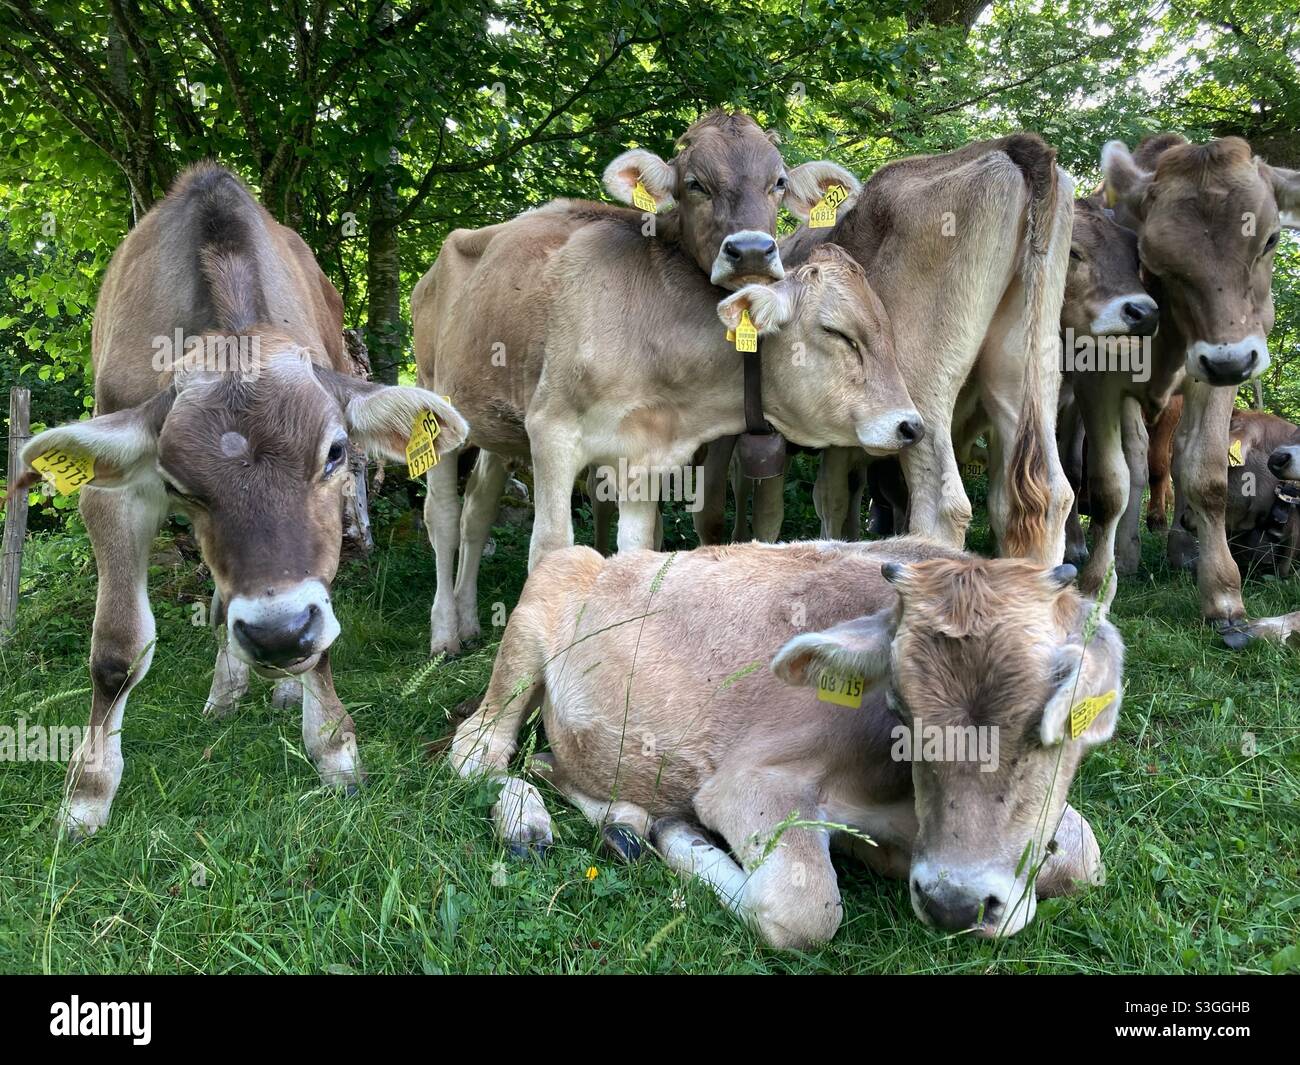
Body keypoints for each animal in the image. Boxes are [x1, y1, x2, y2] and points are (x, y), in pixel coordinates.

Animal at [13, 162, 467, 837]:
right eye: (177, 482)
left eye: (335, 452)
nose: (278, 636)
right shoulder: (112, 496)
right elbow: (118, 647)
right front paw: (87, 794)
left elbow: (320, 630)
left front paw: (334, 749)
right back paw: (226, 691)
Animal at [410, 110, 868, 657]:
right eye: (695, 184)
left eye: (778, 182)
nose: (753, 251)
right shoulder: (555, 432)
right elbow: (554, 546)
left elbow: (656, 537)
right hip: (438, 411)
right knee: (442, 515)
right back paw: (443, 631)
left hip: (497, 426)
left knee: (477, 510)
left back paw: (469, 618)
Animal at [449, 538, 1118, 946]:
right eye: (900, 710)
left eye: (1051, 726)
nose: (955, 902)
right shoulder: (749, 782)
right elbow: (803, 910)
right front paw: (688, 839)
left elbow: (1082, 857)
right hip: (526, 637)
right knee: (477, 750)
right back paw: (527, 824)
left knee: (553, 763)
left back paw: (624, 825)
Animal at [1097, 136, 1300, 644]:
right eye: (1153, 257)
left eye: (1271, 239)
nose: (1228, 361)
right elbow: (1130, 466)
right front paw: (1121, 558)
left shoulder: (1212, 380)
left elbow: (1203, 470)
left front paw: (1223, 596)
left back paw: (1181, 544)